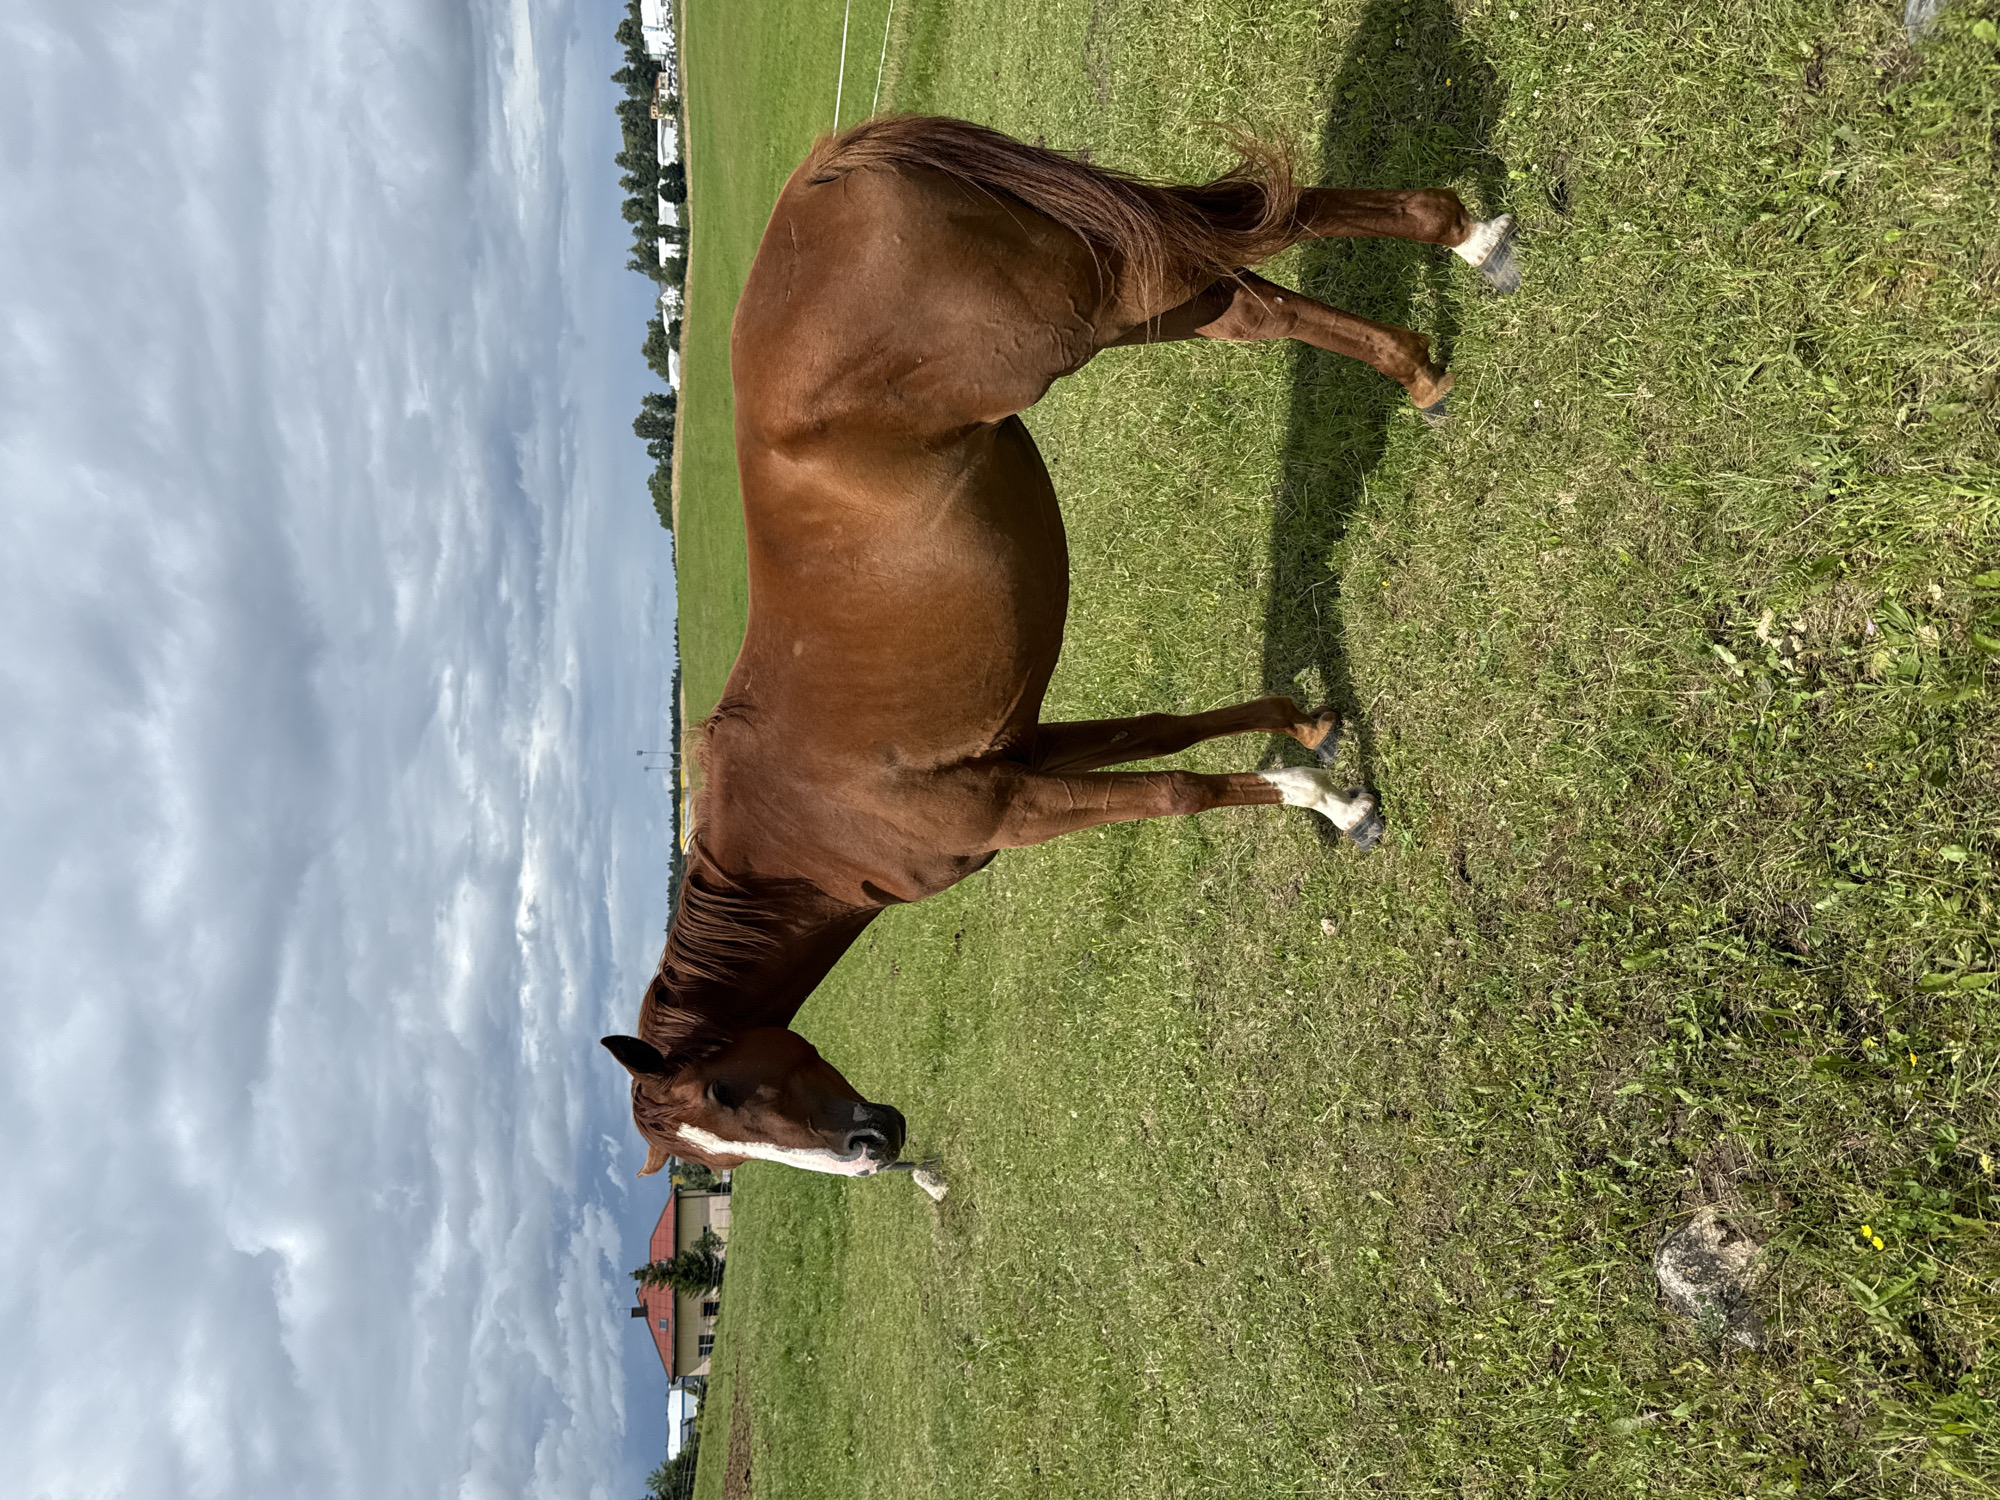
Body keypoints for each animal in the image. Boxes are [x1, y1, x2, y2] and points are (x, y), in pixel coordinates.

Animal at [602, 115, 1517, 1185]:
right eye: (725, 1154)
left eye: (725, 1094)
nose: (874, 1147)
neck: (806, 834)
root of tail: (834, 173)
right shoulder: (1031, 750)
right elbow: (1167, 733)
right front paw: (1306, 730)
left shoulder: (1014, 808)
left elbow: (1178, 793)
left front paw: (1332, 804)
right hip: (1140, 300)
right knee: (1259, 296)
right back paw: (1436, 330)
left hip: (1099, 312)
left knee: (1274, 232)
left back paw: (1463, 245)